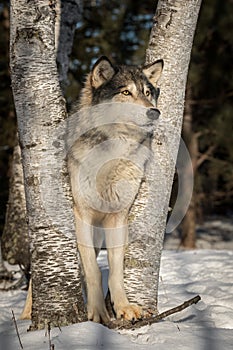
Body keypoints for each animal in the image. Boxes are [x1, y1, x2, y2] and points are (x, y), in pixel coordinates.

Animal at [66, 56, 163, 322]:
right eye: (126, 92)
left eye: (147, 92)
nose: (154, 112)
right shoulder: (81, 215)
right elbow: (93, 270)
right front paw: (98, 312)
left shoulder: (118, 217)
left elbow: (116, 269)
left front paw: (124, 307)